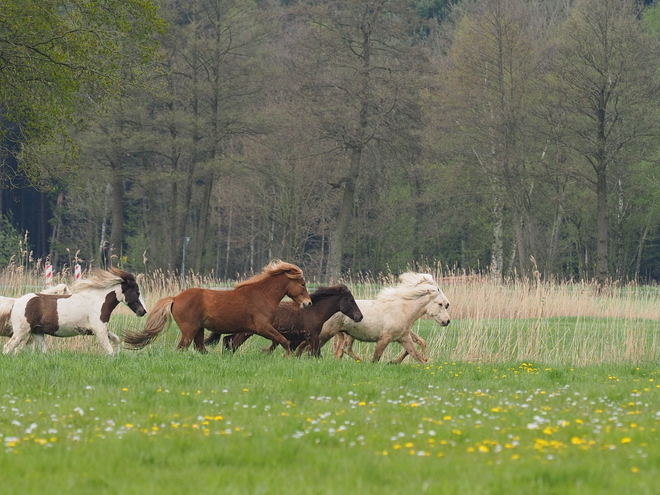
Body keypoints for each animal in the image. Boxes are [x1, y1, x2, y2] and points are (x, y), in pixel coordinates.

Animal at [2, 270, 147, 354]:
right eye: (137, 292)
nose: (143, 311)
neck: (98, 301)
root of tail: (16, 301)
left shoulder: (100, 329)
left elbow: (116, 339)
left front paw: (118, 355)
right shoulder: (99, 330)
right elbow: (108, 349)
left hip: (37, 333)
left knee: (43, 351)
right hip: (21, 332)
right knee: (7, 348)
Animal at [123, 260, 312, 356]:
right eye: (302, 284)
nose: (308, 303)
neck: (262, 294)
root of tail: (176, 298)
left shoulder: (248, 330)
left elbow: (233, 345)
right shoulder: (262, 327)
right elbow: (283, 341)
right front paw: (288, 357)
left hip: (198, 330)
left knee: (200, 348)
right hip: (189, 330)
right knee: (182, 348)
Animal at [209, 284, 364, 358]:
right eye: (351, 299)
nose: (359, 317)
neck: (314, 311)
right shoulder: (313, 336)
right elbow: (316, 354)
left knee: (228, 340)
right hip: (245, 333)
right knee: (233, 343)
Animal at [318, 272, 452, 364]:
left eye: (446, 305)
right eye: (440, 304)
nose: (447, 321)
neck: (403, 311)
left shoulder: (404, 338)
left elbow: (416, 354)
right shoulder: (384, 338)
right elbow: (376, 358)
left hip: (345, 334)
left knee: (343, 349)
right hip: (331, 332)